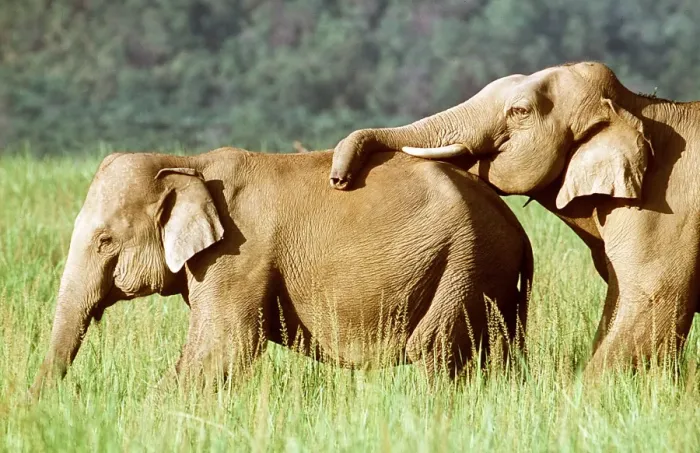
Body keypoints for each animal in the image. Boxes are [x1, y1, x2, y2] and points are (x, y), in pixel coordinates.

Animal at [30, 147, 533, 396]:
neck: (187, 163)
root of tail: (517, 229)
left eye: (105, 241)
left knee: (436, 353)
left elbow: (226, 346)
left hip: (464, 263)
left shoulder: (238, 253)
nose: (41, 406)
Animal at [328, 61, 700, 373]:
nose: (339, 179)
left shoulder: (665, 210)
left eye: (520, 111)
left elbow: (652, 306)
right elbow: (618, 304)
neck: (638, 106)